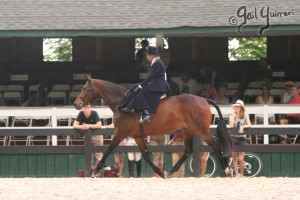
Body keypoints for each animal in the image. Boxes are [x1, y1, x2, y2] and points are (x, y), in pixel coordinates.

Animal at [73, 75, 234, 178]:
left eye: (85, 88)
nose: (76, 104)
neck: (122, 102)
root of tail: (203, 99)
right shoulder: (137, 136)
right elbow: (146, 156)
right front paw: (161, 172)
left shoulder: (120, 133)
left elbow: (108, 150)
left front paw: (95, 171)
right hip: (188, 129)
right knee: (188, 150)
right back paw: (171, 172)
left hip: (202, 130)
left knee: (215, 145)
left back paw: (227, 169)